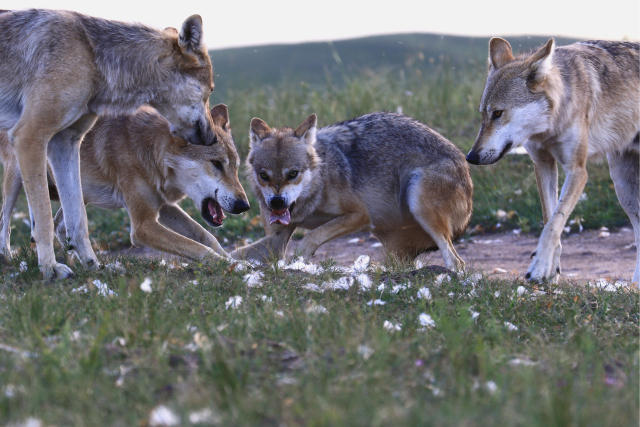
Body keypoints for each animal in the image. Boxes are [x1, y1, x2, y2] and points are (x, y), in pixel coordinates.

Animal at [0, 9, 219, 280]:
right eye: (210, 90)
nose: (213, 138)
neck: (91, 57)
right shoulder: (30, 136)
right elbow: (44, 219)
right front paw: (50, 269)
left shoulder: (64, 143)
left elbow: (77, 219)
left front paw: (92, 265)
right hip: (15, 172)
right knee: (5, 220)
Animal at [0, 105, 250, 262]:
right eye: (216, 163)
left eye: (236, 167)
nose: (244, 206)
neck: (149, 150)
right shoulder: (142, 226)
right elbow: (198, 248)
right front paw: (229, 266)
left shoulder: (164, 207)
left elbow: (206, 236)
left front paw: (237, 262)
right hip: (18, 177)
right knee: (6, 221)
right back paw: (8, 258)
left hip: (76, 190)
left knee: (62, 225)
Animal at [232, 112, 472, 270]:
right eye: (264, 175)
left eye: (293, 173)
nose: (277, 202)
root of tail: (464, 162)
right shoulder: (276, 239)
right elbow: (234, 253)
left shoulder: (361, 215)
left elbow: (311, 237)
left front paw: (300, 261)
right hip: (392, 241)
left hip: (417, 201)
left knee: (456, 262)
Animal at [464, 36, 640, 284]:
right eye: (482, 114)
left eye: (498, 113)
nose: (470, 157)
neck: (549, 126)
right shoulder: (543, 165)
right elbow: (550, 219)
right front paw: (550, 271)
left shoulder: (577, 171)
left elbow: (554, 223)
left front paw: (539, 268)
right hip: (624, 190)